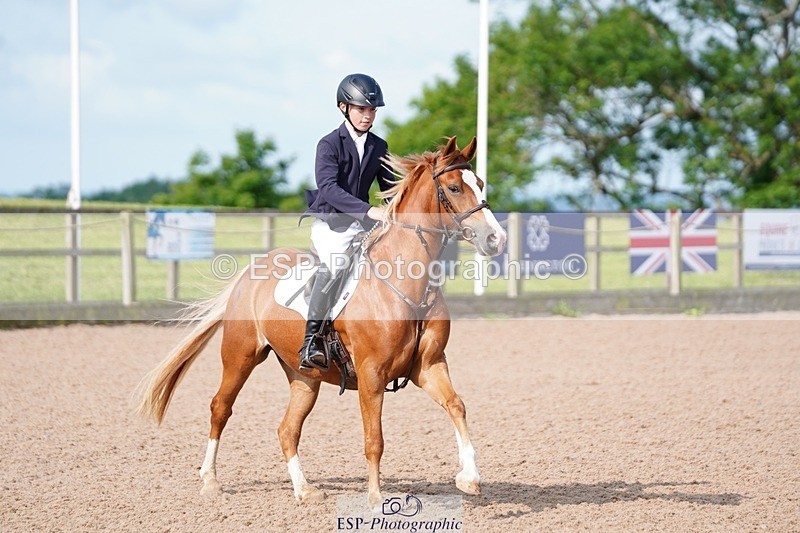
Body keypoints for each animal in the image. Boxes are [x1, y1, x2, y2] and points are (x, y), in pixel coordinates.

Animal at [135, 136, 507, 510]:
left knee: (287, 429)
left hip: (304, 376)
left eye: (480, 183)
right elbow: (374, 439)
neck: (404, 283)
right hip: (240, 355)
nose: (496, 239)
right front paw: (376, 498)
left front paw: (469, 478)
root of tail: (250, 271)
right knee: (220, 408)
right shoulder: (372, 374)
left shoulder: (429, 366)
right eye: (455, 187)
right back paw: (210, 480)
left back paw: (304, 490)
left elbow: (456, 406)